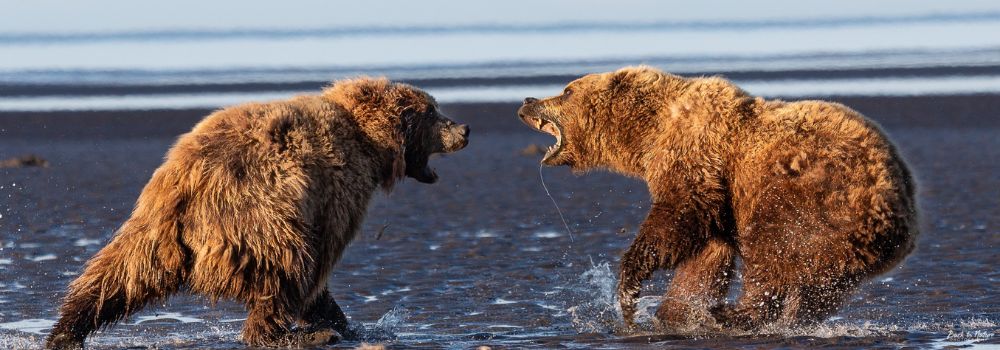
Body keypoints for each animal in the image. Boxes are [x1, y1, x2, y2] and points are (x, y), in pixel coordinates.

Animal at [45, 78, 470, 348]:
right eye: (434, 111)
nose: (465, 128)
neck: (369, 143)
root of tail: (192, 183)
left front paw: (346, 323)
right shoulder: (334, 190)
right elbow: (320, 265)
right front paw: (334, 323)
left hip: (154, 227)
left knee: (120, 274)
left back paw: (65, 331)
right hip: (259, 217)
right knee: (288, 268)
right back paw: (291, 335)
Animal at [520, 66, 916, 334]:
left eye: (567, 90)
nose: (527, 100)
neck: (647, 134)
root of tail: (899, 210)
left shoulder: (696, 157)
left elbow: (676, 217)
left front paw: (631, 288)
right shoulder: (720, 202)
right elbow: (706, 256)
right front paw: (674, 313)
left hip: (812, 199)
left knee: (770, 254)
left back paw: (734, 313)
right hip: (850, 253)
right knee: (818, 289)